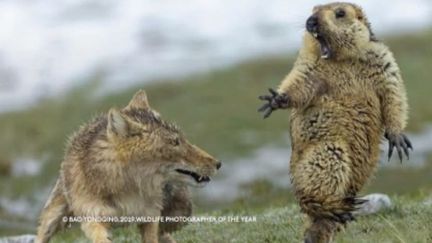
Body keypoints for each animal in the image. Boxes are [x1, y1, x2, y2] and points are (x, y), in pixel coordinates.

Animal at [35, 90, 221, 243]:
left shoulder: (150, 215)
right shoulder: (92, 217)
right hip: (53, 216)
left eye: (183, 140)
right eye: (175, 142)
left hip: (180, 213)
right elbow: (100, 237)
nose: (218, 164)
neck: (128, 187)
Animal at [256, 1, 412, 243]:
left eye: (340, 12)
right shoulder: (309, 65)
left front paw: (397, 137)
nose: (311, 21)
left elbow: (393, 90)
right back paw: (333, 208)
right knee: (311, 199)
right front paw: (276, 99)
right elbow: (300, 80)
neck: (341, 59)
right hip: (328, 151)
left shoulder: (382, 58)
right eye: (312, 9)